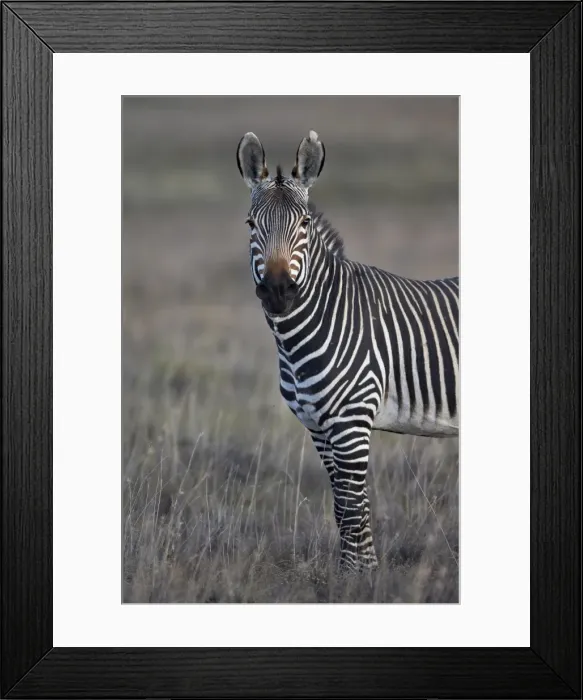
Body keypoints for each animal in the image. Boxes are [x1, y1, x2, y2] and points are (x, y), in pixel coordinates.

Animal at [236, 130, 459, 572]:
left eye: (304, 223)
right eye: (251, 224)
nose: (277, 292)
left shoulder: (352, 422)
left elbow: (353, 505)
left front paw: (361, 577)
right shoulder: (319, 427)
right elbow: (342, 505)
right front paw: (353, 572)